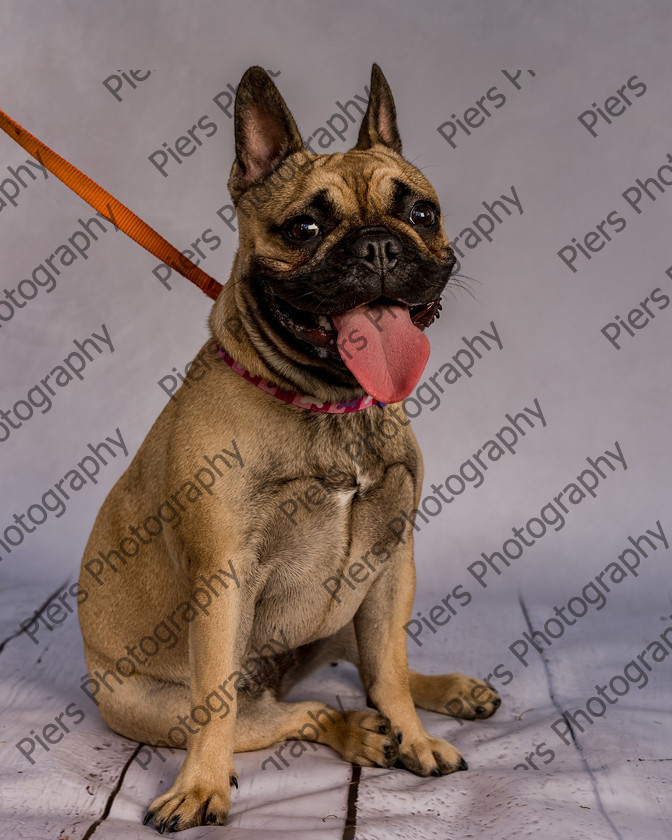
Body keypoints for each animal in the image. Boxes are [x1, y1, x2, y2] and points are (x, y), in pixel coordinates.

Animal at [77, 65, 498, 832]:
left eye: (422, 214)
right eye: (305, 228)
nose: (379, 245)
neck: (329, 403)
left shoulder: (390, 562)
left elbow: (389, 669)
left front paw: (418, 740)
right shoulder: (223, 579)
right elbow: (219, 708)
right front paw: (200, 789)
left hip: (353, 606)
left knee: (378, 662)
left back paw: (444, 692)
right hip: (157, 706)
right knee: (286, 713)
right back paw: (357, 732)